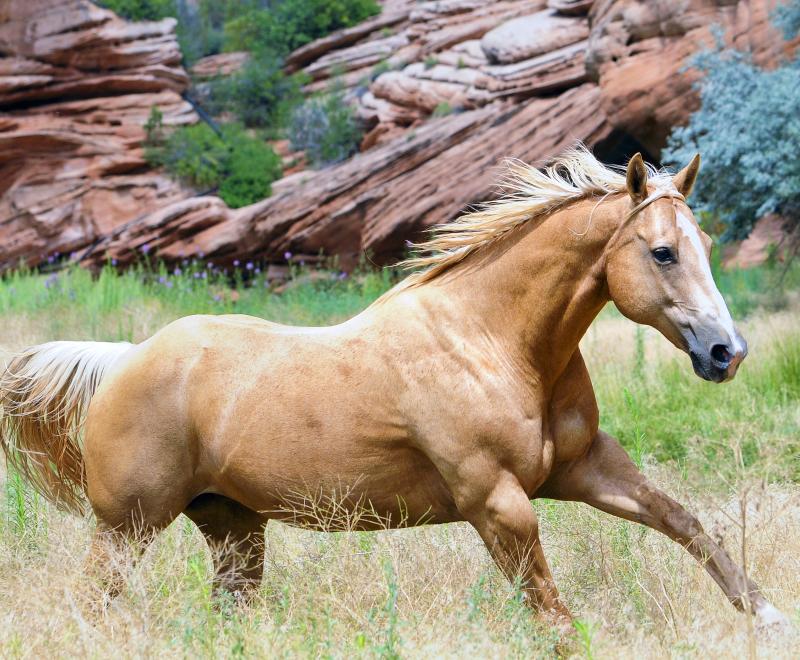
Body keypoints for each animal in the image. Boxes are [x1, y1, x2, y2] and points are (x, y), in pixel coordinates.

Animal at [0, 147, 788, 632]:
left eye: (705, 246)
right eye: (661, 252)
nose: (726, 352)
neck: (492, 341)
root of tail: (123, 360)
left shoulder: (587, 469)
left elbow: (688, 524)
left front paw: (770, 616)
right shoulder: (497, 503)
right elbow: (554, 617)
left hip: (233, 528)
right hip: (126, 527)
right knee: (90, 606)